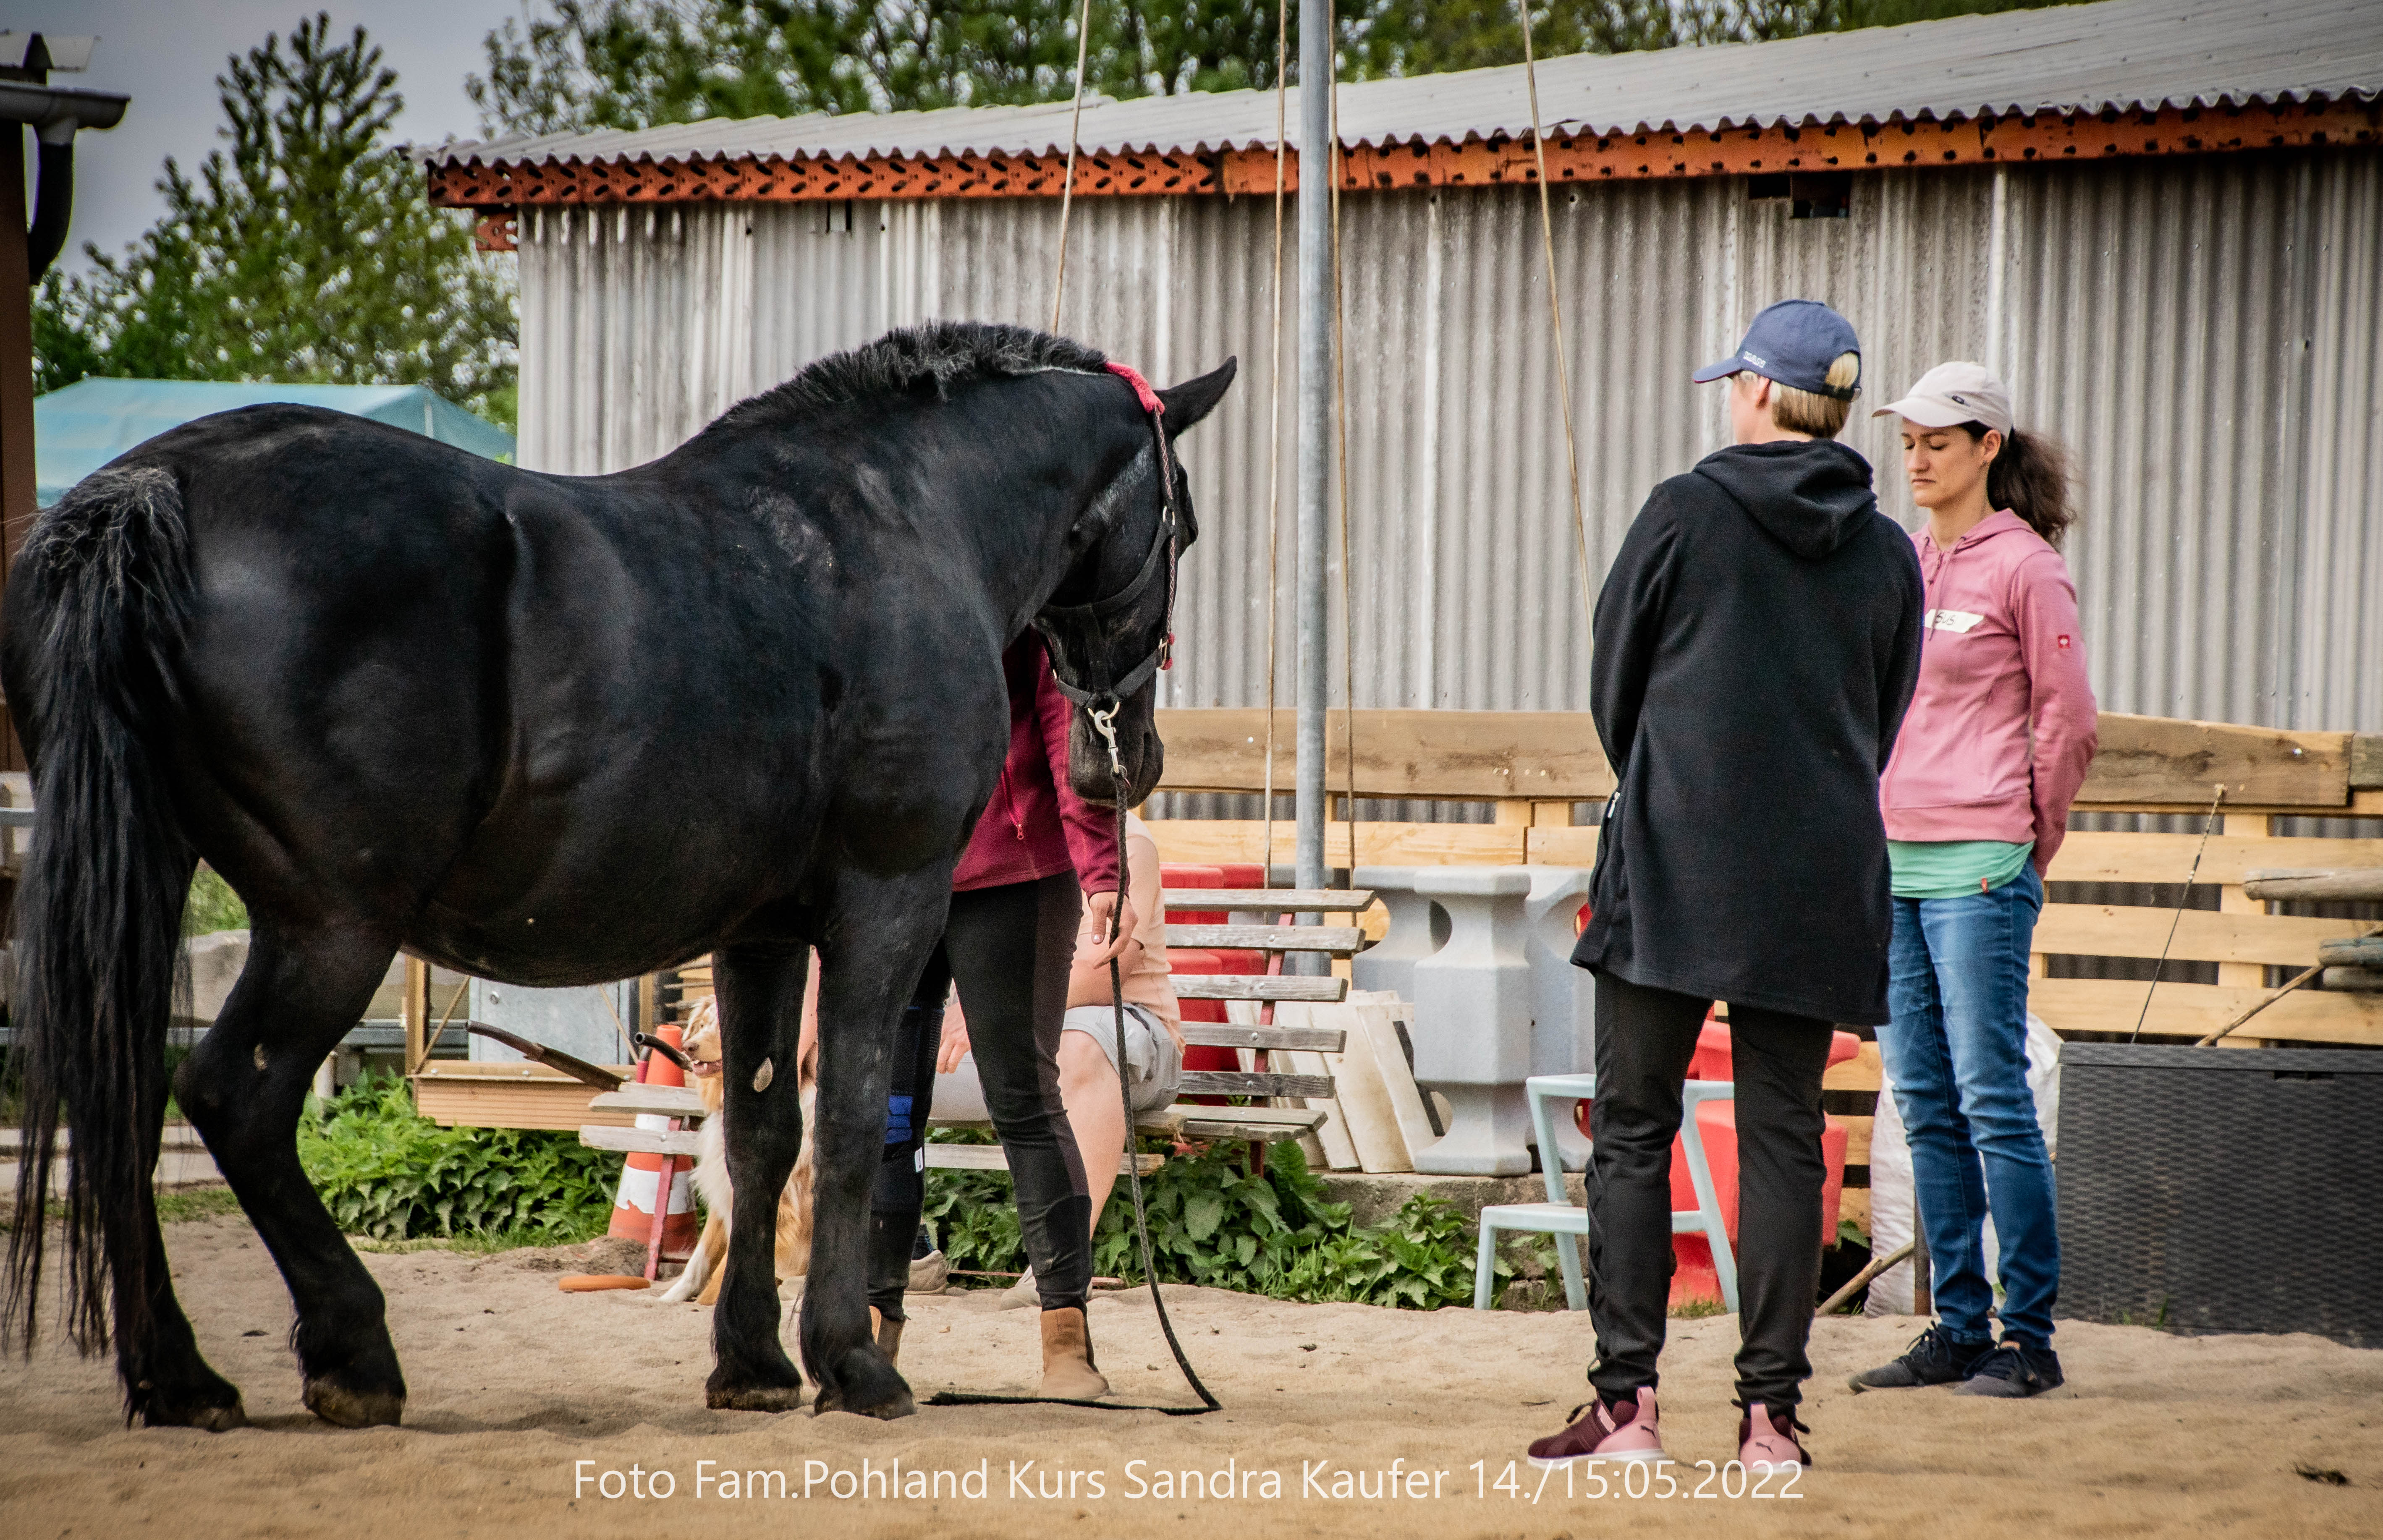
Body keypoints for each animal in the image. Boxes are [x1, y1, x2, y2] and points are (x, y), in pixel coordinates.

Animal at [2, 320, 1235, 1430]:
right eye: (1183, 524)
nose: (1124, 759)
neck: (897, 525)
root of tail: (150, 491)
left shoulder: (761, 931)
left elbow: (759, 1132)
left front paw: (751, 1365)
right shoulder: (886, 904)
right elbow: (846, 1127)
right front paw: (849, 1364)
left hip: (155, 875)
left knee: (123, 1099)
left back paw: (180, 1376)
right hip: (330, 924)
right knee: (232, 1096)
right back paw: (349, 1352)